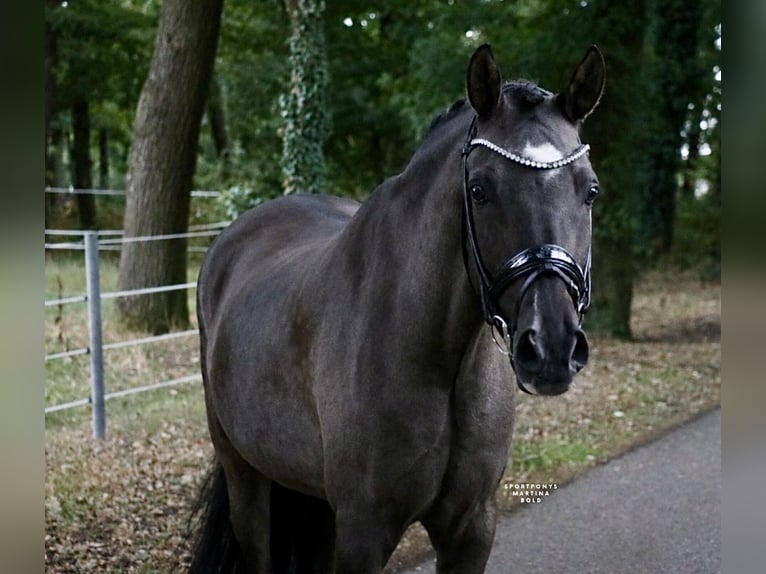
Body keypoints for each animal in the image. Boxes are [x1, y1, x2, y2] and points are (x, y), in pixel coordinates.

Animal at [190, 43, 605, 573]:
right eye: (479, 190)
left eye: (589, 189)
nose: (551, 346)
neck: (438, 362)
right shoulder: (363, 533)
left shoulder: (471, 528)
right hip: (246, 479)